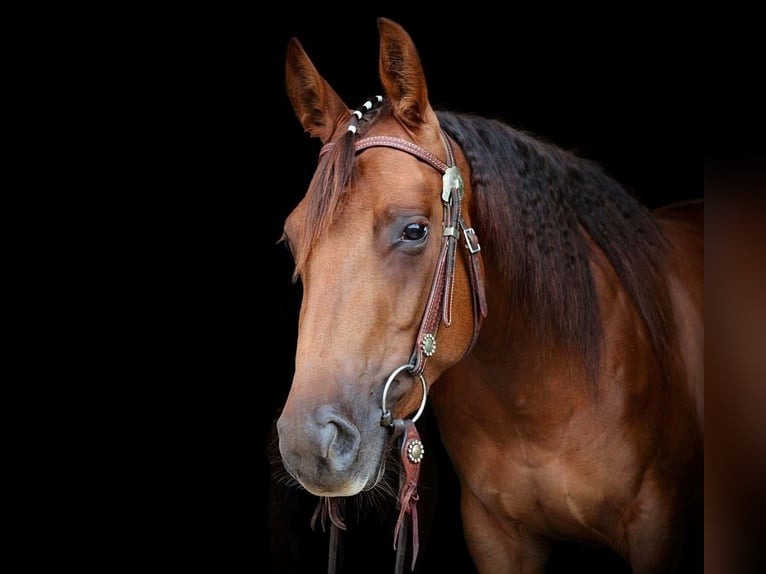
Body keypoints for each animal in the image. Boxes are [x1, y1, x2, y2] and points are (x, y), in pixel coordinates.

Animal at [275, 17, 703, 574]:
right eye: (292, 239)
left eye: (414, 231)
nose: (310, 444)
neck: (540, 399)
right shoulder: (496, 536)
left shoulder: (658, 528)